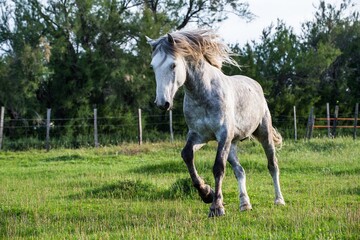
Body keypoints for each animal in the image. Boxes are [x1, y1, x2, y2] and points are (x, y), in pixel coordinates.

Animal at [146, 29, 284, 217]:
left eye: (173, 65)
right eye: (153, 66)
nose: (162, 103)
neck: (204, 94)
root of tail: (255, 84)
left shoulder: (223, 135)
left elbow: (218, 167)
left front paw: (216, 207)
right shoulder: (199, 135)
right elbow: (187, 155)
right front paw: (206, 193)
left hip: (263, 134)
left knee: (272, 165)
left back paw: (279, 200)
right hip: (232, 144)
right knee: (240, 171)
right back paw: (245, 204)